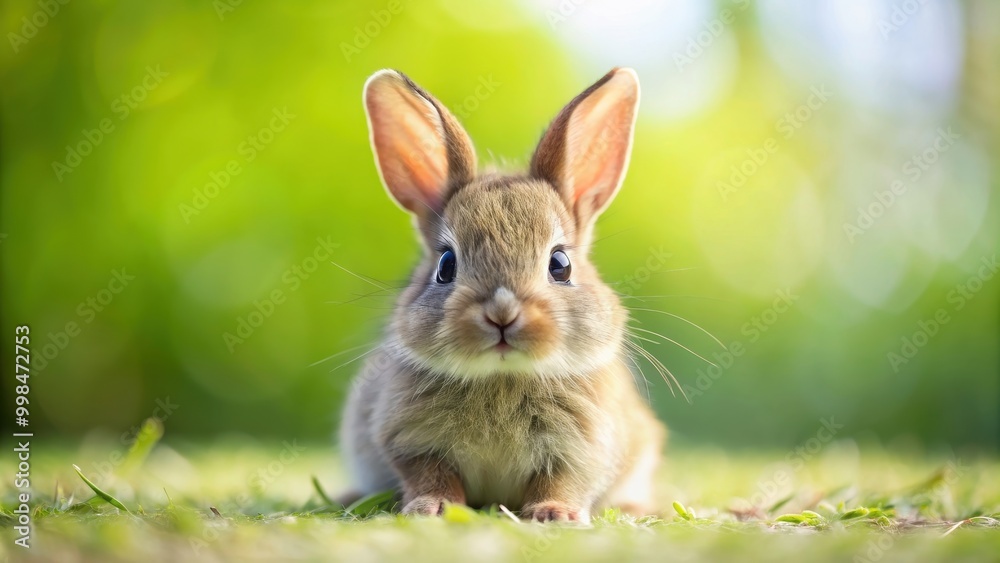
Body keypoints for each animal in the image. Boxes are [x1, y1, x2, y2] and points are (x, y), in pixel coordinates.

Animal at [339, 67, 666, 523]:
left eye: (560, 264)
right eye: (446, 265)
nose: (502, 313)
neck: (503, 376)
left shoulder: (583, 449)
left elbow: (564, 481)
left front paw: (554, 513)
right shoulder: (409, 443)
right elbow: (430, 475)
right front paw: (432, 507)